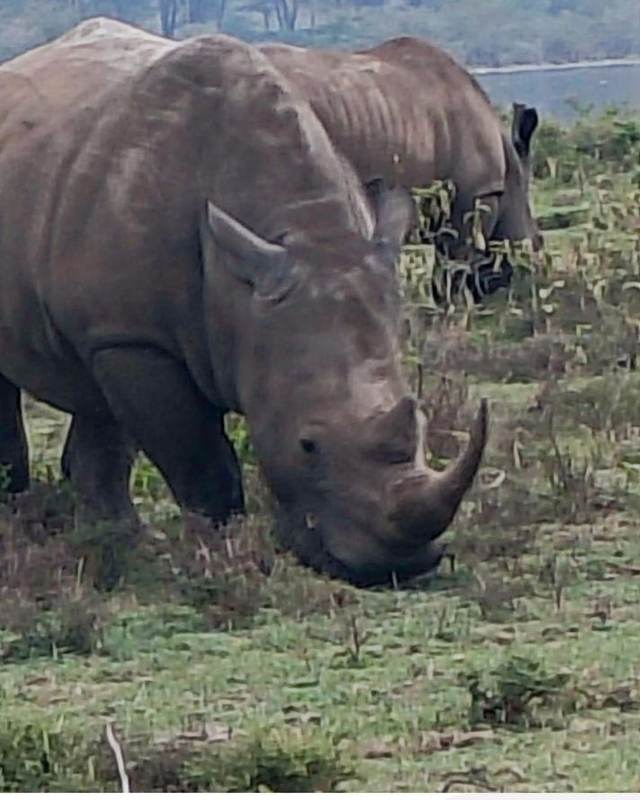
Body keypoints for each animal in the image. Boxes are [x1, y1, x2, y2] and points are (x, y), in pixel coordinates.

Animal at [0, 18, 487, 586]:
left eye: (425, 428)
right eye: (307, 445)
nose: (397, 567)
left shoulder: (119, 328)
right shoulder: (137, 340)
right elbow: (201, 463)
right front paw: (222, 556)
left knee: (96, 400)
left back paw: (115, 540)